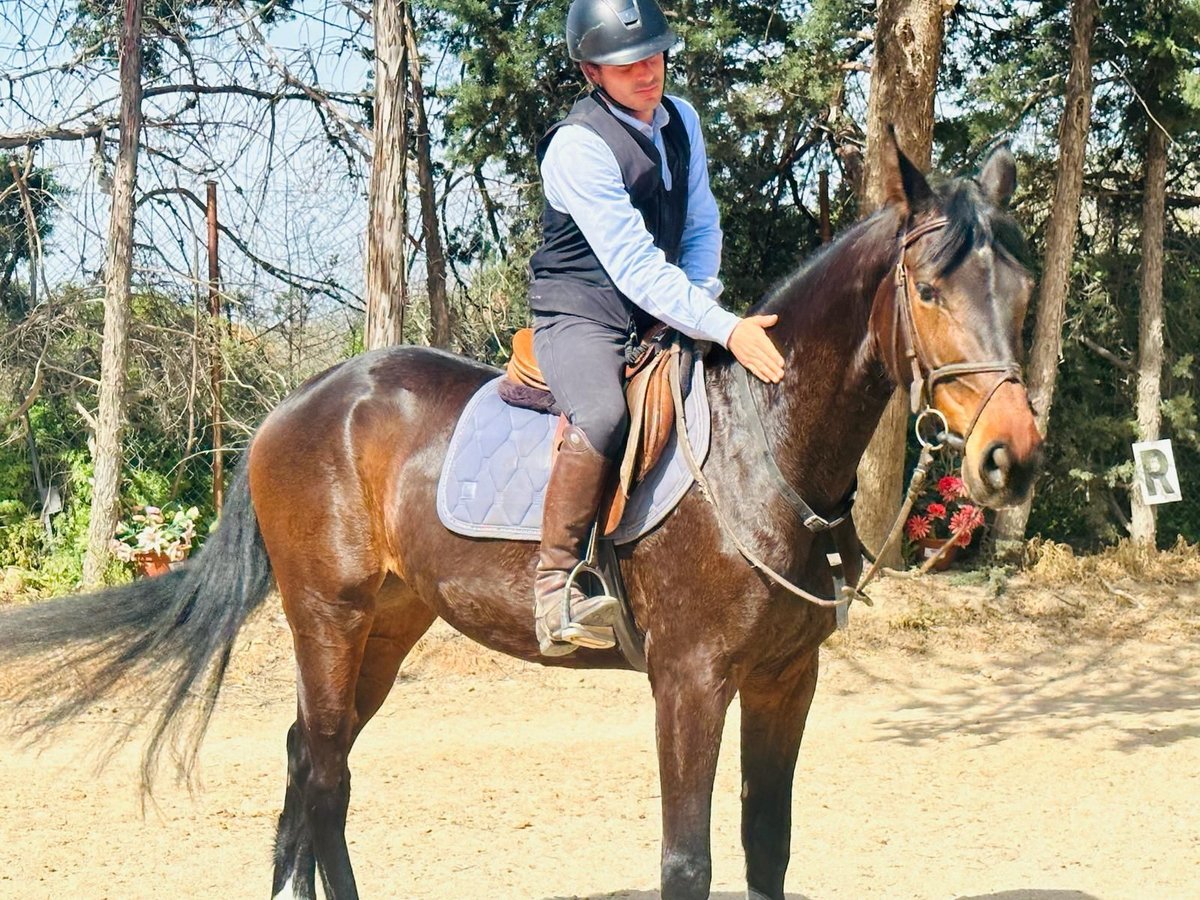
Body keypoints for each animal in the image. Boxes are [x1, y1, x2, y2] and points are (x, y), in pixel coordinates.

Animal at [0, 135, 1041, 900]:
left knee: (316, 765)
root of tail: (300, 403)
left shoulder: (788, 679)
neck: (764, 447)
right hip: (327, 619)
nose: (1010, 454)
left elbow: (768, 849)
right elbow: (688, 863)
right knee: (321, 769)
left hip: (389, 625)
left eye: (1024, 295)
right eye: (929, 291)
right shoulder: (691, 682)